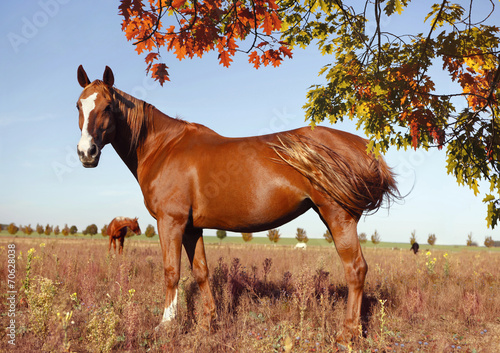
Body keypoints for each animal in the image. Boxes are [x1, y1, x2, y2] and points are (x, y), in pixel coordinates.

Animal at [76, 65, 400, 340]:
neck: (164, 147)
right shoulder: (192, 228)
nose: (86, 153)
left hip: (337, 215)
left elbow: (171, 273)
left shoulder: (171, 222)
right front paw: (207, 324)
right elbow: (201, 272)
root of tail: (364, 145)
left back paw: (347, 334)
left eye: (108, 106)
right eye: (79, 106)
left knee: (355, 270)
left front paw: (166, 325)